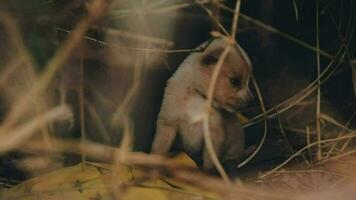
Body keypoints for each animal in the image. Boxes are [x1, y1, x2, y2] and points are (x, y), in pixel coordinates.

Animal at [152, 38, 252, 171]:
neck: (198, 95)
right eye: (235, 81)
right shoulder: (168, 124)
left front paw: (208, 172)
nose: (252, 101)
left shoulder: (213, 133)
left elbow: (209, 160)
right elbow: (159, 147)